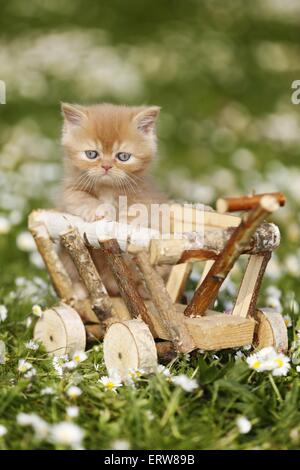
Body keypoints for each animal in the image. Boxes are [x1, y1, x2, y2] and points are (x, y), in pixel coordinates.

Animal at [57, 103, 168, 296]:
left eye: (123, 156)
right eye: (92, 154)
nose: (106, 166)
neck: (107, 188)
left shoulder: (145, 194)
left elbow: (139, 209)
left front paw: (124, 220)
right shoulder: (70, 190)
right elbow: (80, 198)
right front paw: (100, 210)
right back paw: (80, 291)